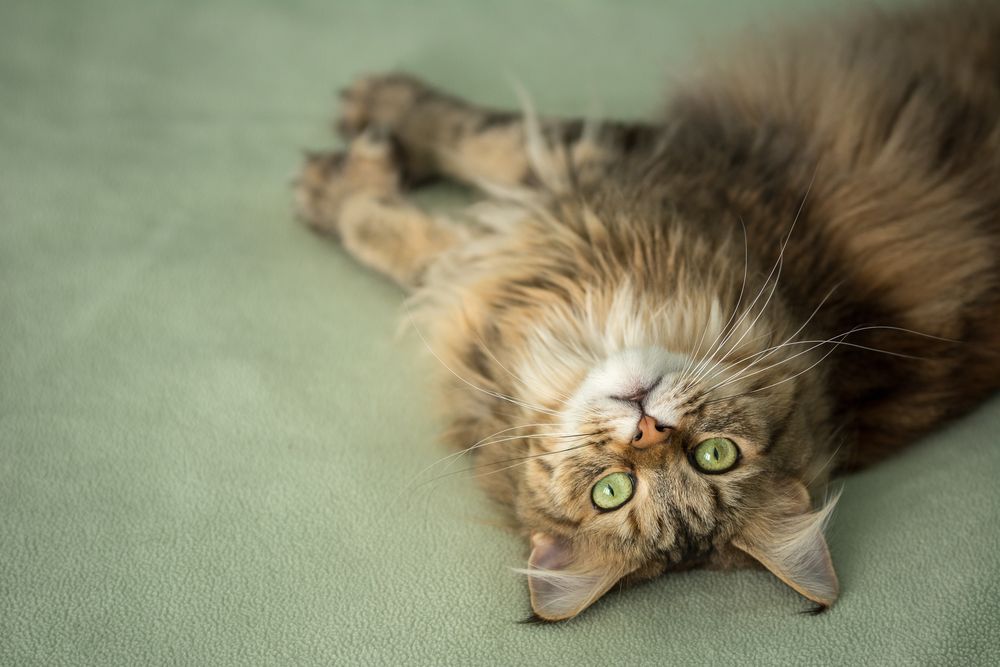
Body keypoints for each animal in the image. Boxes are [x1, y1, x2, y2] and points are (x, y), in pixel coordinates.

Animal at [292, 0, 1000, 624]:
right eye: (612, 491)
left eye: (712, 456)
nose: (646, 427)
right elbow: (464, 162)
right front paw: (371, 123)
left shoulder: (588, 179)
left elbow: (440, 188)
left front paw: (343, 179)